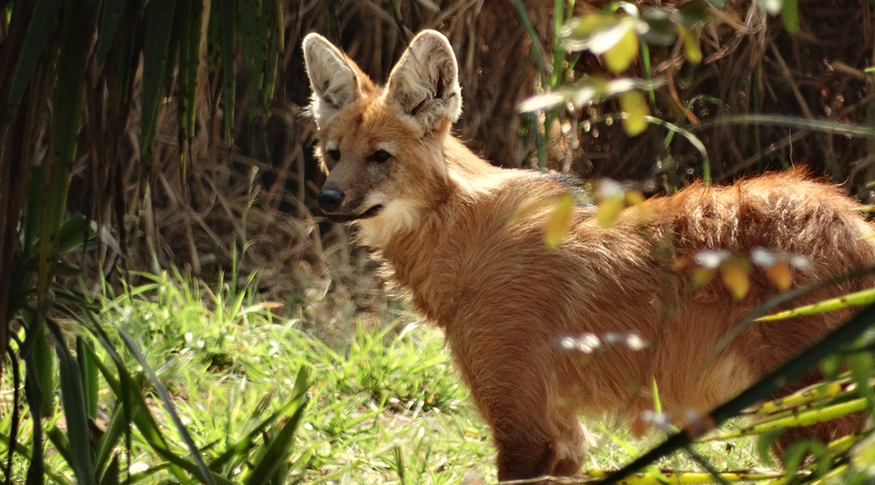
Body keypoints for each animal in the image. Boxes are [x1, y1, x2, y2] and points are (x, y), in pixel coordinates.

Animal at [302, 31, 875, 480]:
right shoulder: (559, 433)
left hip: (807, 415)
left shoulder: (525, 427)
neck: (463, 240)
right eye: (334, 155)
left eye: (380, 157)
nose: (327, 198)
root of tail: (853, 225)